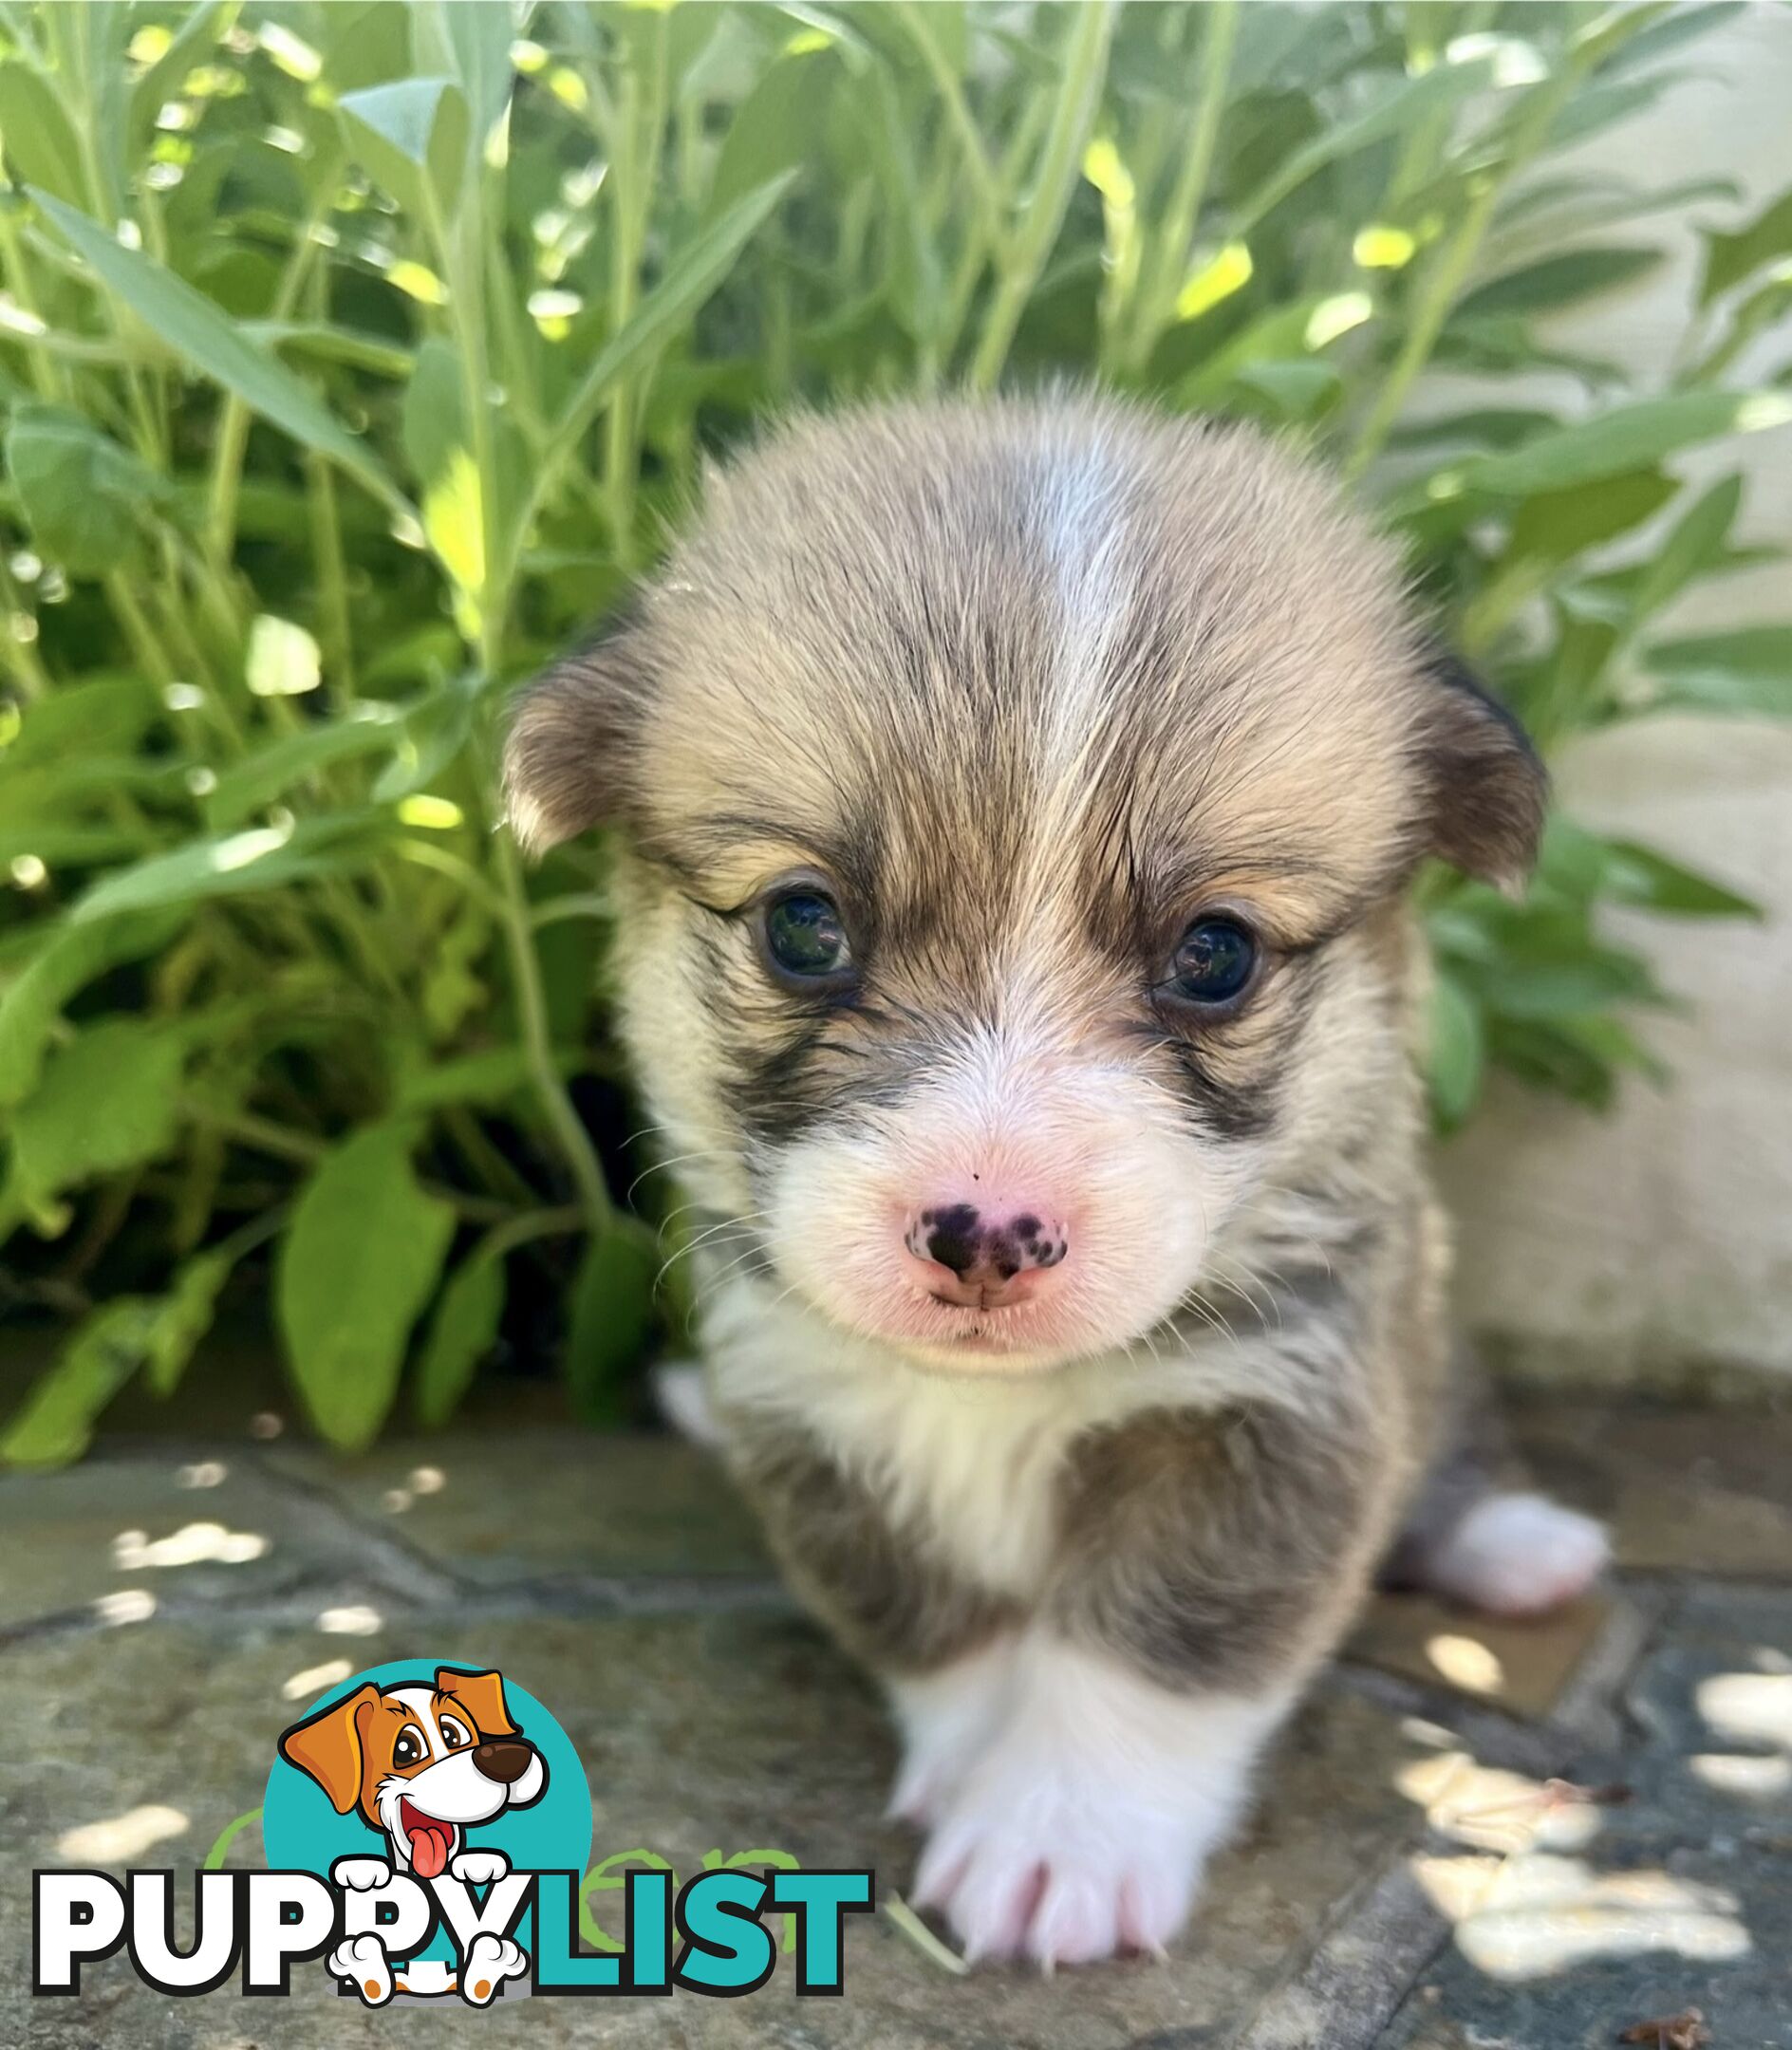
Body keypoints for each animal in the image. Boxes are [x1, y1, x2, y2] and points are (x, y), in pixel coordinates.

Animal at [502, 395, 1607, 1967]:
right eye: (802, 926)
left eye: (1215, 954)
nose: (985, 1230)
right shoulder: (818, 1431)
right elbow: (945, 1629)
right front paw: (980, 1762)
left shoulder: (1272, 1417)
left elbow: (1145, 1654)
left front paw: (1059, 1835)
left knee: (1455, 1447)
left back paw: (1520, 1545)